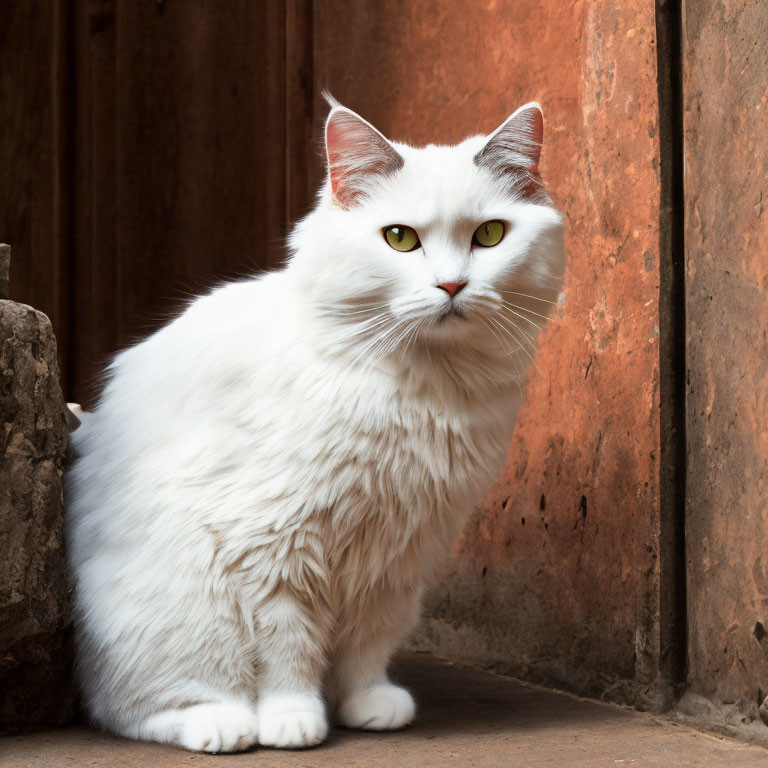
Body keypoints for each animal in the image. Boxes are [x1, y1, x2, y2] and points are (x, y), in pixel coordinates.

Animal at [64, 99, 564, 752]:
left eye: (489, 235)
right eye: (400, 239)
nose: (452, 285)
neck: (423, 387)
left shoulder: (398, 553)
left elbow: (366, 647)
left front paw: (365, 705)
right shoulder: (276, 546)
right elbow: (290, 651)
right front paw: (292, 721)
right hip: (187, 612)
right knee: (131, 707)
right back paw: (225, 725)